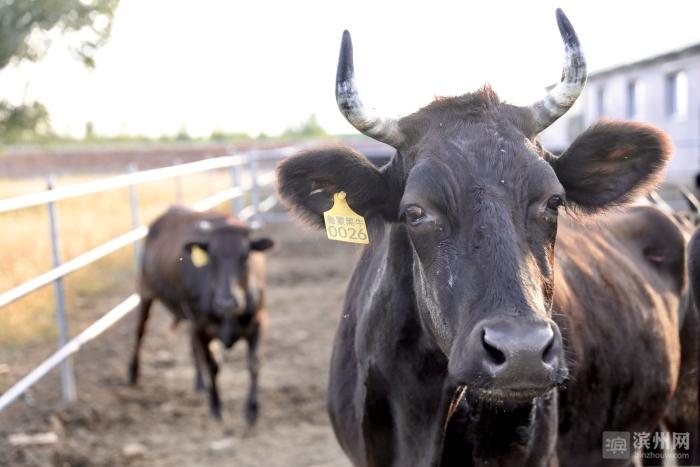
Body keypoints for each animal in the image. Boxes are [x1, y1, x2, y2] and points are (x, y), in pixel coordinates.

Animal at [128, 207, 274, 422]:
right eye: (212, 258)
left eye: (245, 257)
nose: (227, 301)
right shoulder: (202, 327)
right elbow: (212, 365)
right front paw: (216, 408)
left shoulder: (259, 320)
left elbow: (254, 362)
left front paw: (251, 410)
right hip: (145, 291)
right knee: (139, 331)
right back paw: (132, 373)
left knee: (192, 345)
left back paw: (200, 383)